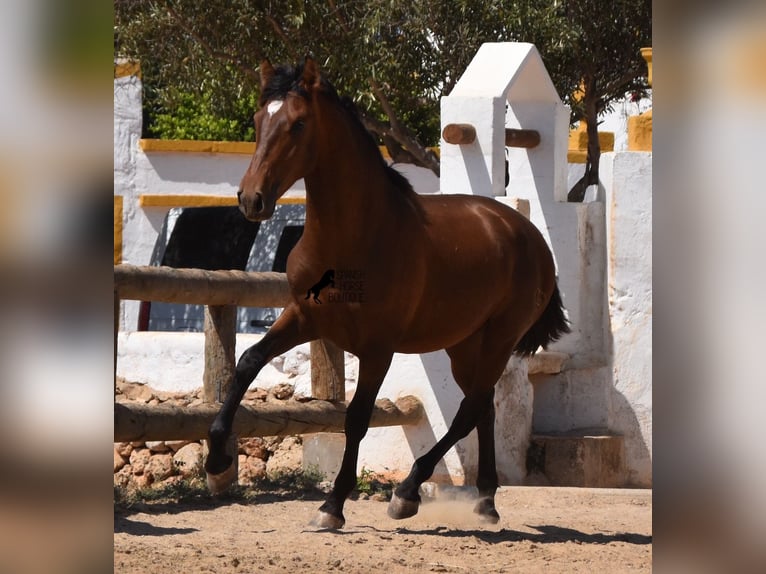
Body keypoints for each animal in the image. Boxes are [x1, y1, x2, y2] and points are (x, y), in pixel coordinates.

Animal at [206, 56, 568, 528]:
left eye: (299, 124)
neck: (356, 238)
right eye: (256, 120)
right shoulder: (304, 318)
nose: (252, 199)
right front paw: (215, 461)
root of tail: (529, 233)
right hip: (464, 344)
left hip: (500, 338)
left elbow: (357, 418)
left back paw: (408, 492)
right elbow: (247, 363)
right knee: (483, 406)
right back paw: (485, 501)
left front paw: (332, 506)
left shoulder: (378, 348)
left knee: (470, 408)